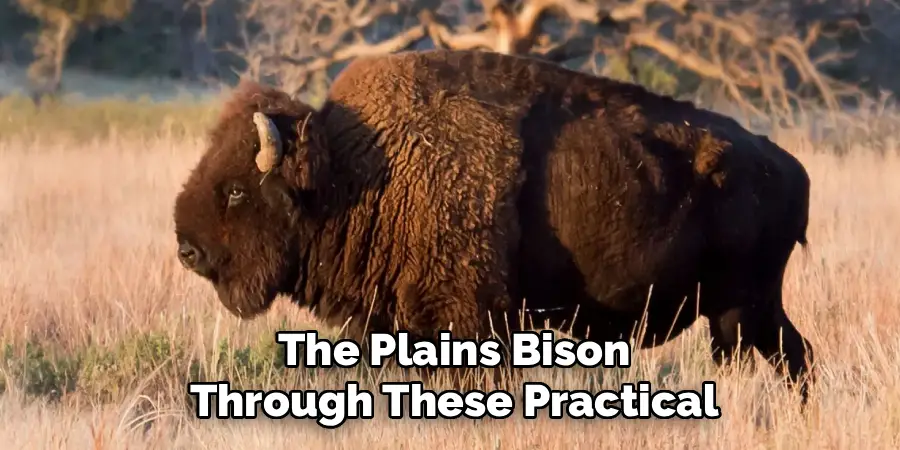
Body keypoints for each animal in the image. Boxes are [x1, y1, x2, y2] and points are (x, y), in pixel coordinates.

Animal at [173, 49, 814, 402]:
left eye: (236, 190)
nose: (187, 249)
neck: (356, 170)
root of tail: (788, 165)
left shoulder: (467, 320)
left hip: (742, 309)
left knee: (784, 356)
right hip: (743, 312)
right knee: (788, 355)